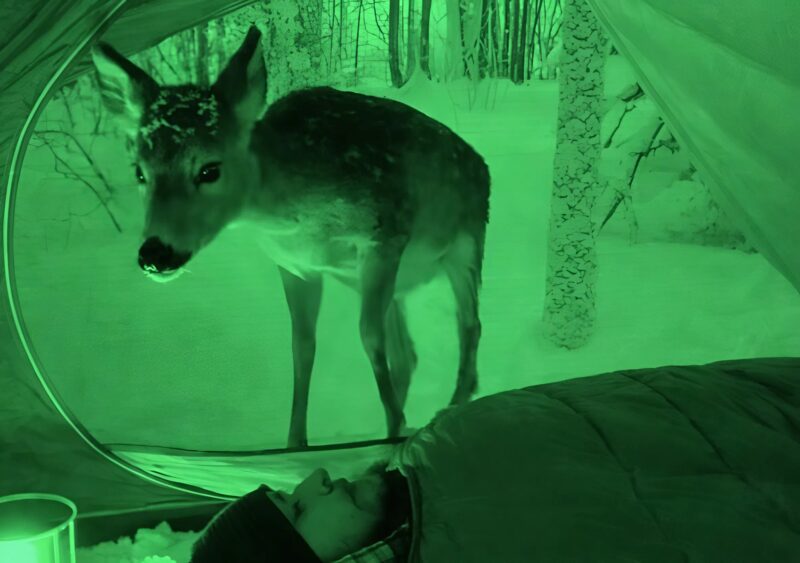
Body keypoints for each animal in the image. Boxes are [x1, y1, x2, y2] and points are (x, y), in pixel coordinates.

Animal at [92, 26, 490, 448]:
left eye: (209, 169)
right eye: (139, 171)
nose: (156, 253)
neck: (295, 210)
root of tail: (481, 163)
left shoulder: (384, 234)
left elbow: (367, 335)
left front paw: (397, 426)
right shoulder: (296, 265)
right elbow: (302, 348)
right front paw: (296, 442)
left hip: (466, 244)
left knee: (469, 324)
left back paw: (450, 406)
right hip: (387, 280)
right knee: (407, 353)